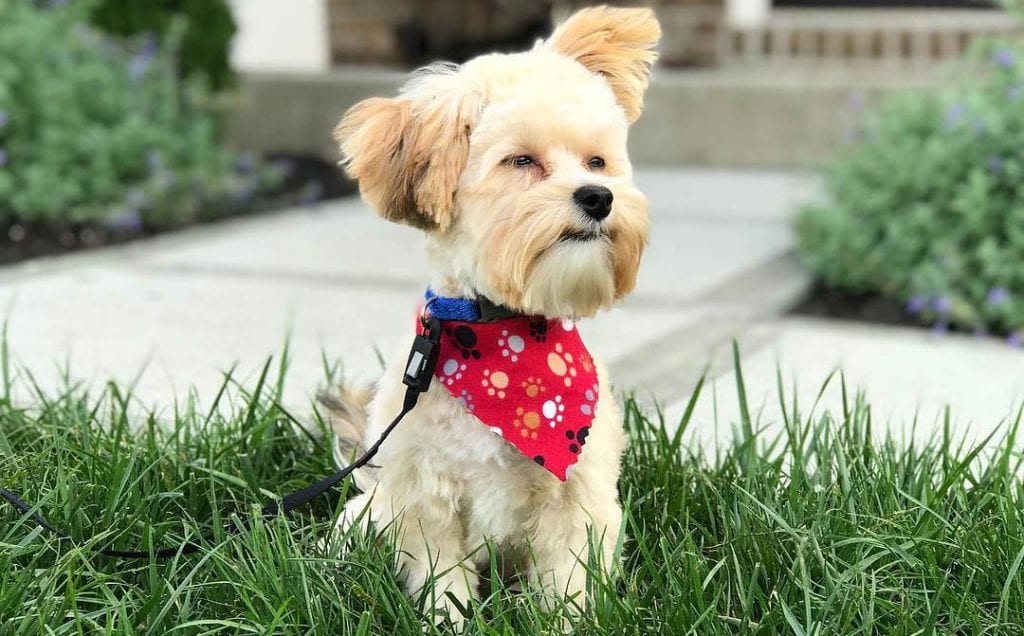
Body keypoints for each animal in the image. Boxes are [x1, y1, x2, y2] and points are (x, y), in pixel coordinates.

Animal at [327, 3, 663, 618]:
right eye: (521, 160)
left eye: (597, 161)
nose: (598, 196)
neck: (504, 339)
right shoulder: (427, 502)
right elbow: (444, 585)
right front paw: (448, 622)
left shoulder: (575, 505)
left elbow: (565, 588)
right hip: (376, 508)